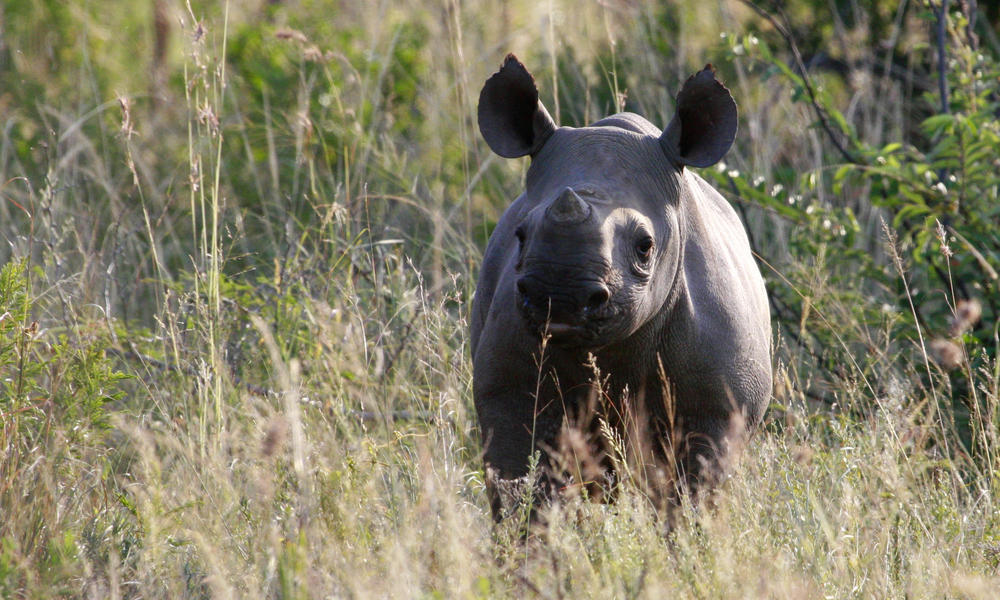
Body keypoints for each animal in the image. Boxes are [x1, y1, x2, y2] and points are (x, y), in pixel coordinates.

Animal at [470, 54, 772, 516]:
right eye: (520, 234)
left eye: (645, 247)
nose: (559, 296)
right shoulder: (509, 386)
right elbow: (522, 486)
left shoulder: (718, 406)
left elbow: (692, 496)